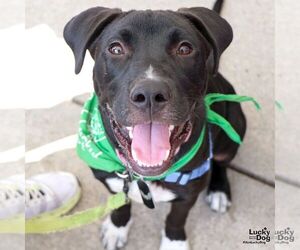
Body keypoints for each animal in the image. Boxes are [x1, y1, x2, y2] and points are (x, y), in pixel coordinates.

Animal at [63, 0, 246, 249]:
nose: (150, 94)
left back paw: (219, 190)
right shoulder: (111, 181)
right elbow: (121, 205)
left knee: (222, 161)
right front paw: (117, 227)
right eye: (115, 49)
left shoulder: (189, 193)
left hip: (234, 126)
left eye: (185, 49)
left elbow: (177, 218)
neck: (144, 177)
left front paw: (174, 242)